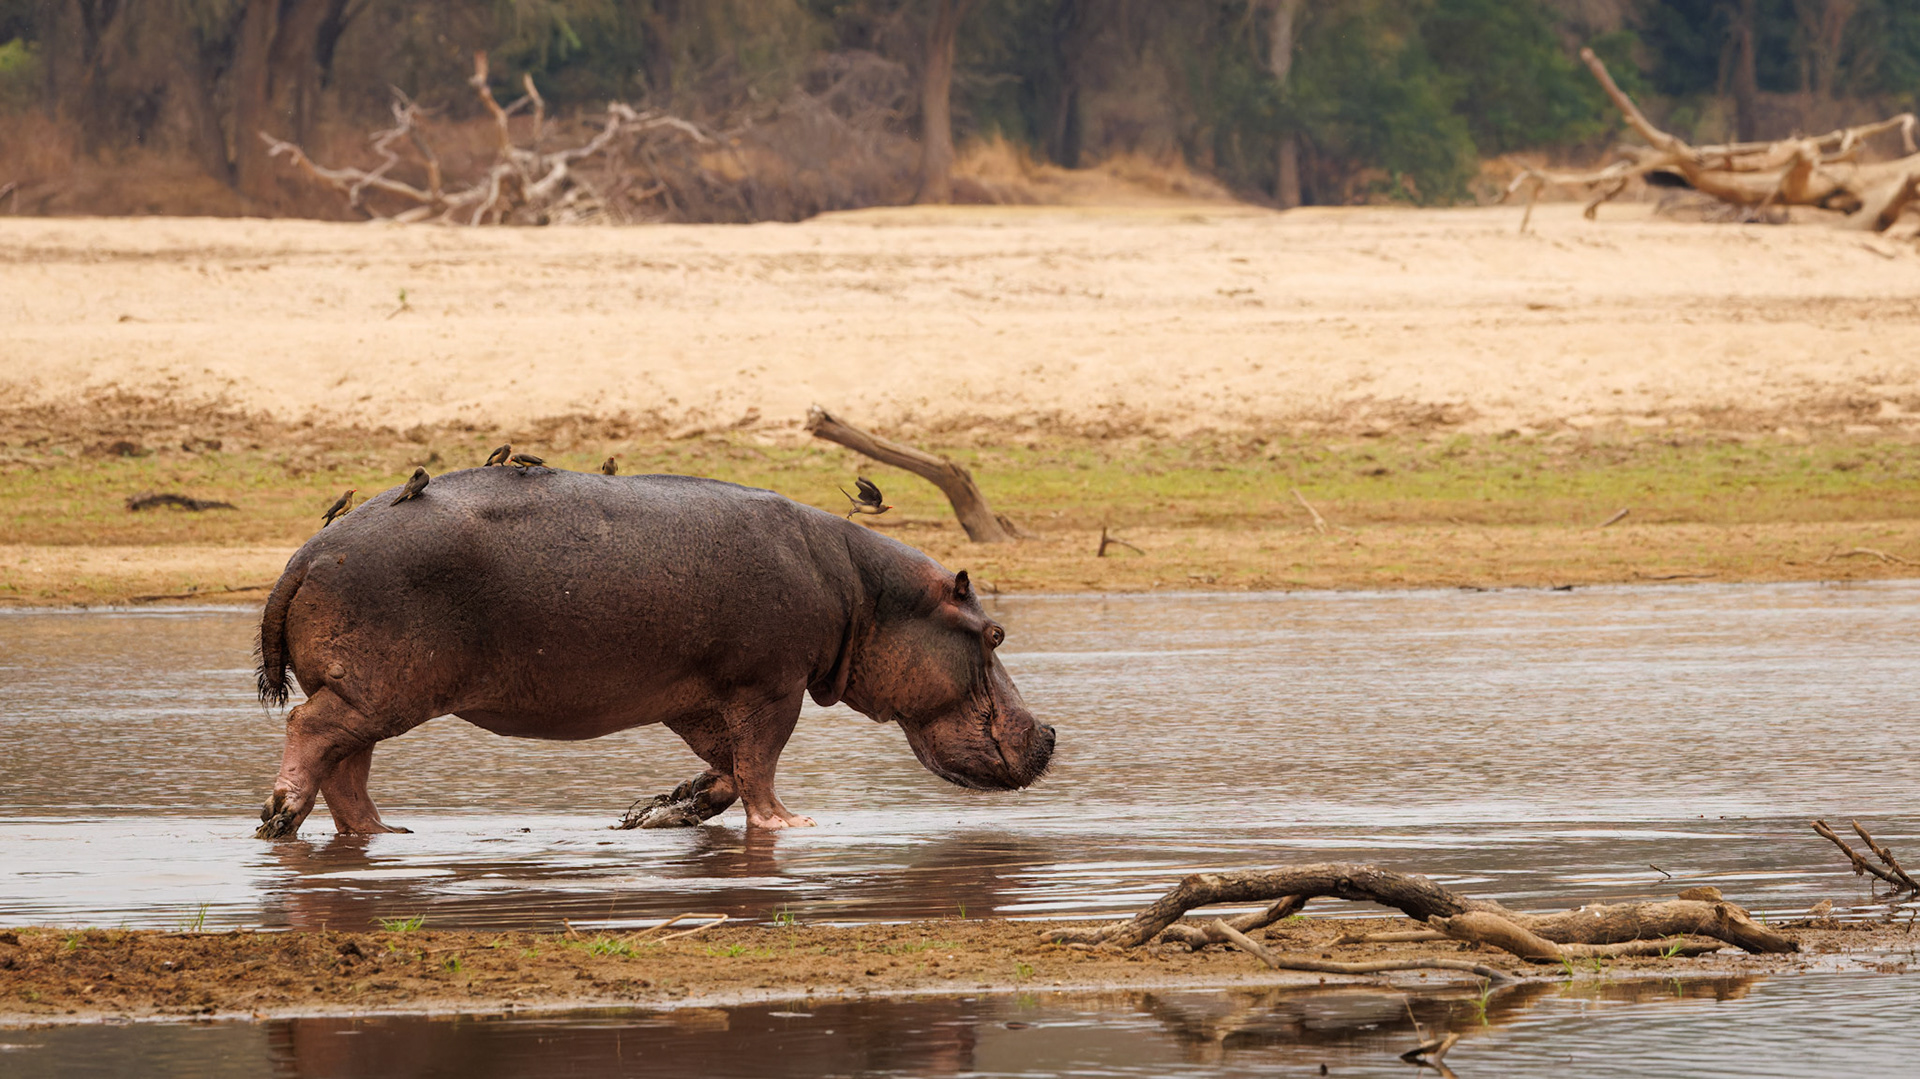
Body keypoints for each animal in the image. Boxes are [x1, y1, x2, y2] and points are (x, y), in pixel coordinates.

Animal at [253, 467, 1054, 837]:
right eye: (994, 635)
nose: (1049, 732)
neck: (865, 591)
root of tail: (305, 554)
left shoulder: (695, 695)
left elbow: (726, 765)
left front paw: (660, 810)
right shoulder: (772, 686)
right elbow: (761, 760)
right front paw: (787, 824)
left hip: (369, 693)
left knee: (347, 765)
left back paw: (381, 834)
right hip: (383, 689)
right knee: (312, 734)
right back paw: (280, 815)